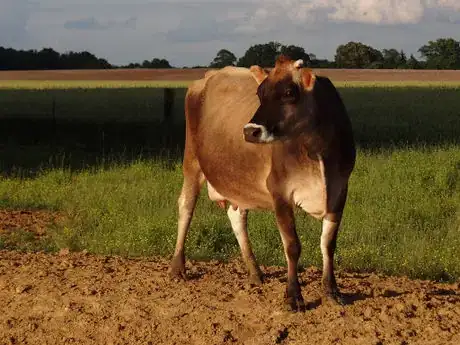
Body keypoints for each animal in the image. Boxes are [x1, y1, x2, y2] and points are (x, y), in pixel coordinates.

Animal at [169, 55, 356, 310]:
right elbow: (292, 245)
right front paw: (293, 296)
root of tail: (210, 75)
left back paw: (254, 272)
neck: (316, 148)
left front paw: (332, 291)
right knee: (186, 207)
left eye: (289, 92)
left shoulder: (340, 189)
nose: (250, 131)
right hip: (192, 161)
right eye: (260, 93)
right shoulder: (280, 191)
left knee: (237, 218)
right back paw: (177, 267)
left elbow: (328, 243)